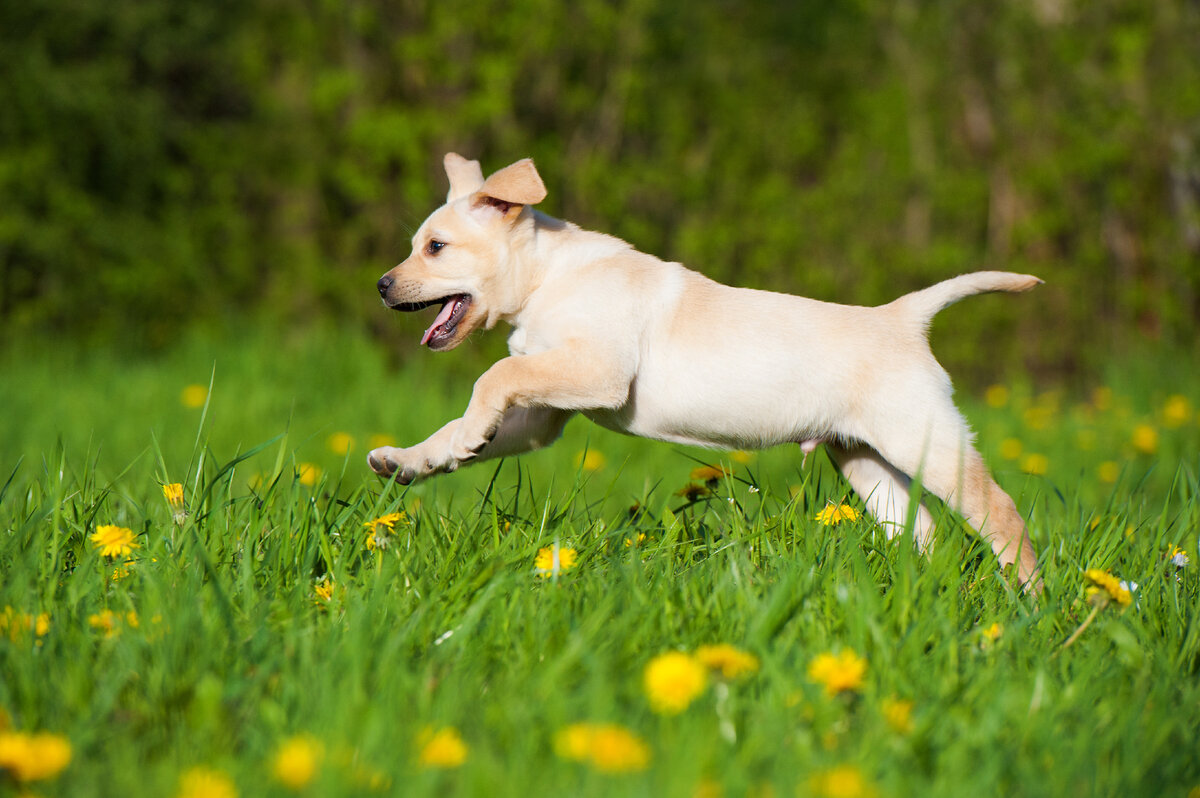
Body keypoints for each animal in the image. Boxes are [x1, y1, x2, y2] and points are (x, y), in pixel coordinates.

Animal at [369, 152, 1046, 585]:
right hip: (863, 458)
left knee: (1003, 517)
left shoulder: (597, 371)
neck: (548, 276)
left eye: (435, 248)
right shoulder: (543, 415)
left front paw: (469, 431)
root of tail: (903, 318)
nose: (380, 286)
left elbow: (493, 378)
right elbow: (473, 414)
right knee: (921, 530)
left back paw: (1029, 606)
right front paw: (417, 458)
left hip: (925, 442)